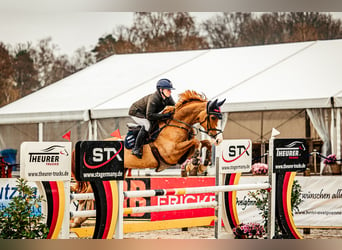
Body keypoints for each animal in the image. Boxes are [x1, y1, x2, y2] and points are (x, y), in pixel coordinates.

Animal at [69, 89, 224, 227]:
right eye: (213, 117)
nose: (219, 140)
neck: (177, 125)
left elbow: (205, 142)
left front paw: (203, 164)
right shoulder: (171, 154)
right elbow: (196, 142)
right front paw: (196, 161)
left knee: (88, 195)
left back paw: (78, 220)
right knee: (85, 195)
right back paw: (76, 220)